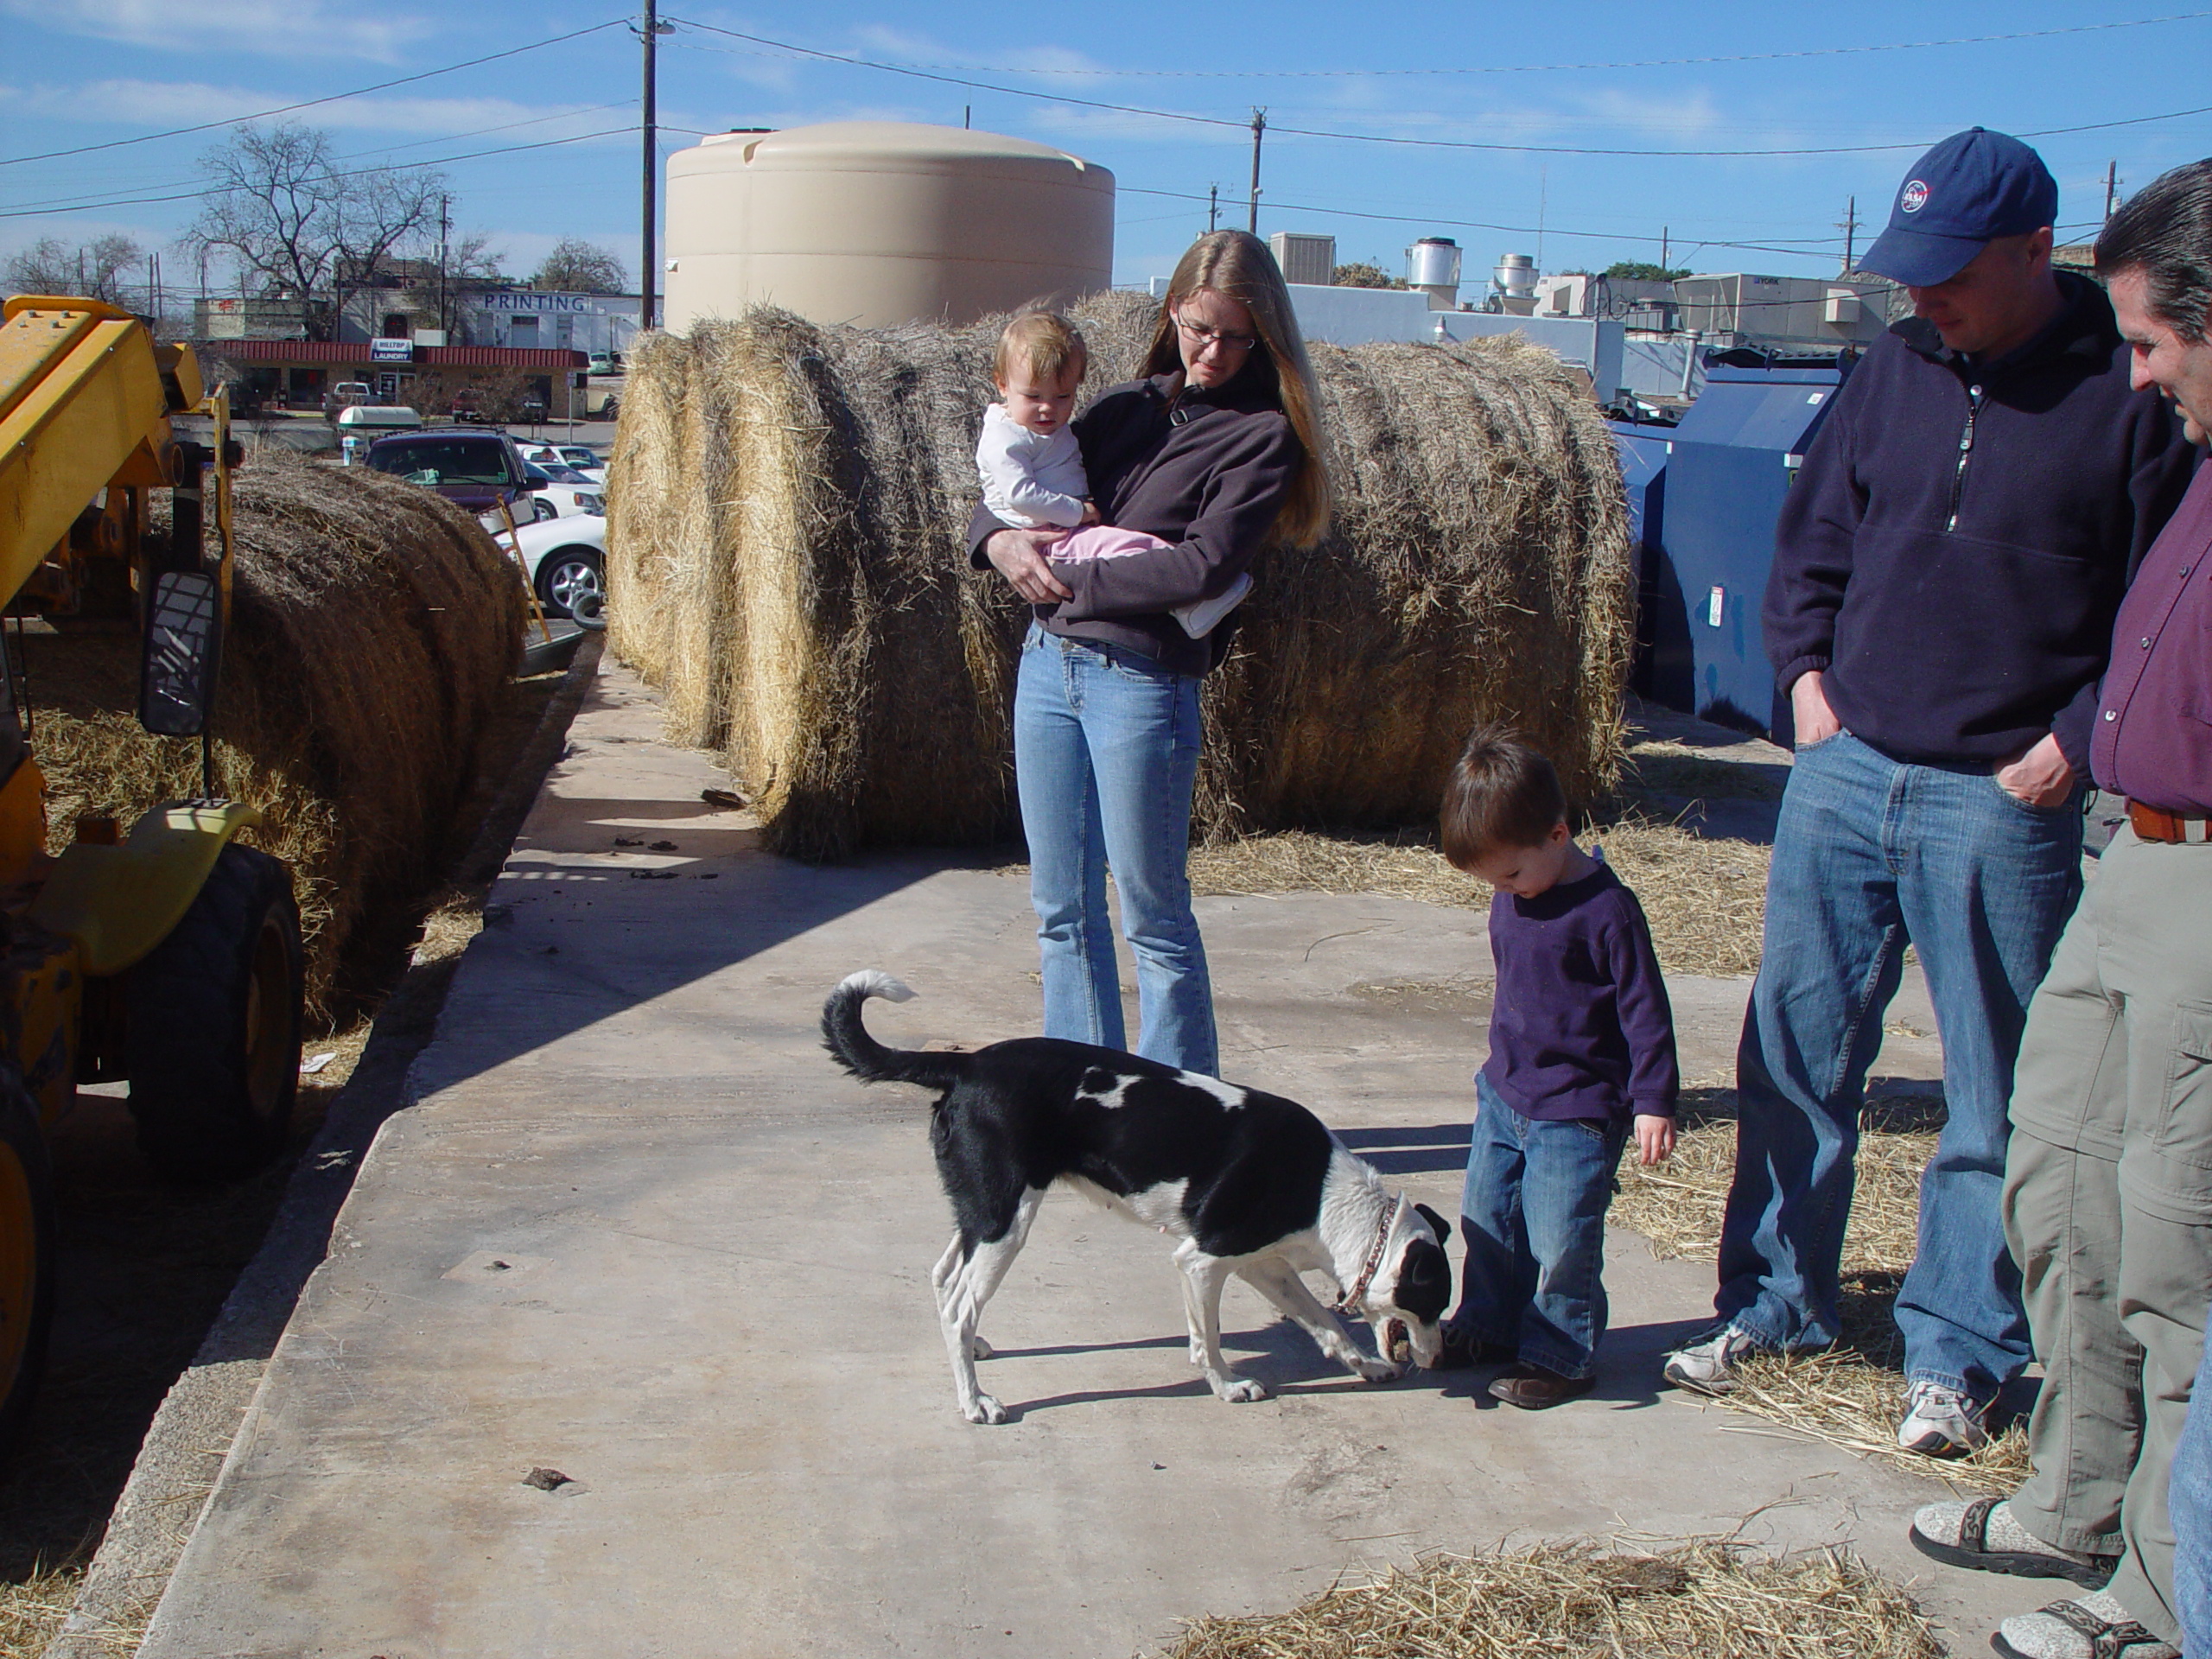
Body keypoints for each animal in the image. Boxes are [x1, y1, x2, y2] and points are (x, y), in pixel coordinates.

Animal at [823, 973, 1459, 1433]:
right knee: (958, 1305)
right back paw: (975, 1401)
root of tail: (968, 1062)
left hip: (983, 1209)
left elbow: (1324, 1323)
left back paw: (972, 1354)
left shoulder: (1262, 1265)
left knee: (944, 1278)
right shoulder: (1201, 1262)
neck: (1327, 1194)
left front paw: (1367, 1365)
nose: (1439, 1359)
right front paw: (1229, 1388)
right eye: (1431, 1305)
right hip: (1007, 1220)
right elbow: (1208, 1342)